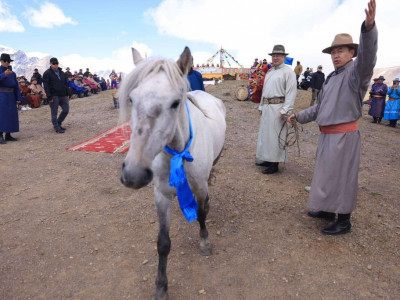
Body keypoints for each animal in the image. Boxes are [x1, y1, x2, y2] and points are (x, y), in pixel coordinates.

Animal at [118, 48, 225, 298]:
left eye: (176, 102)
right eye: (131, 99)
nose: (134, 174)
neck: (179, 152)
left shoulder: (200, 187)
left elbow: (202, 212)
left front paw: (205, 242)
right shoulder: (161, 195)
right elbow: (163, 243)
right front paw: (161, 287)